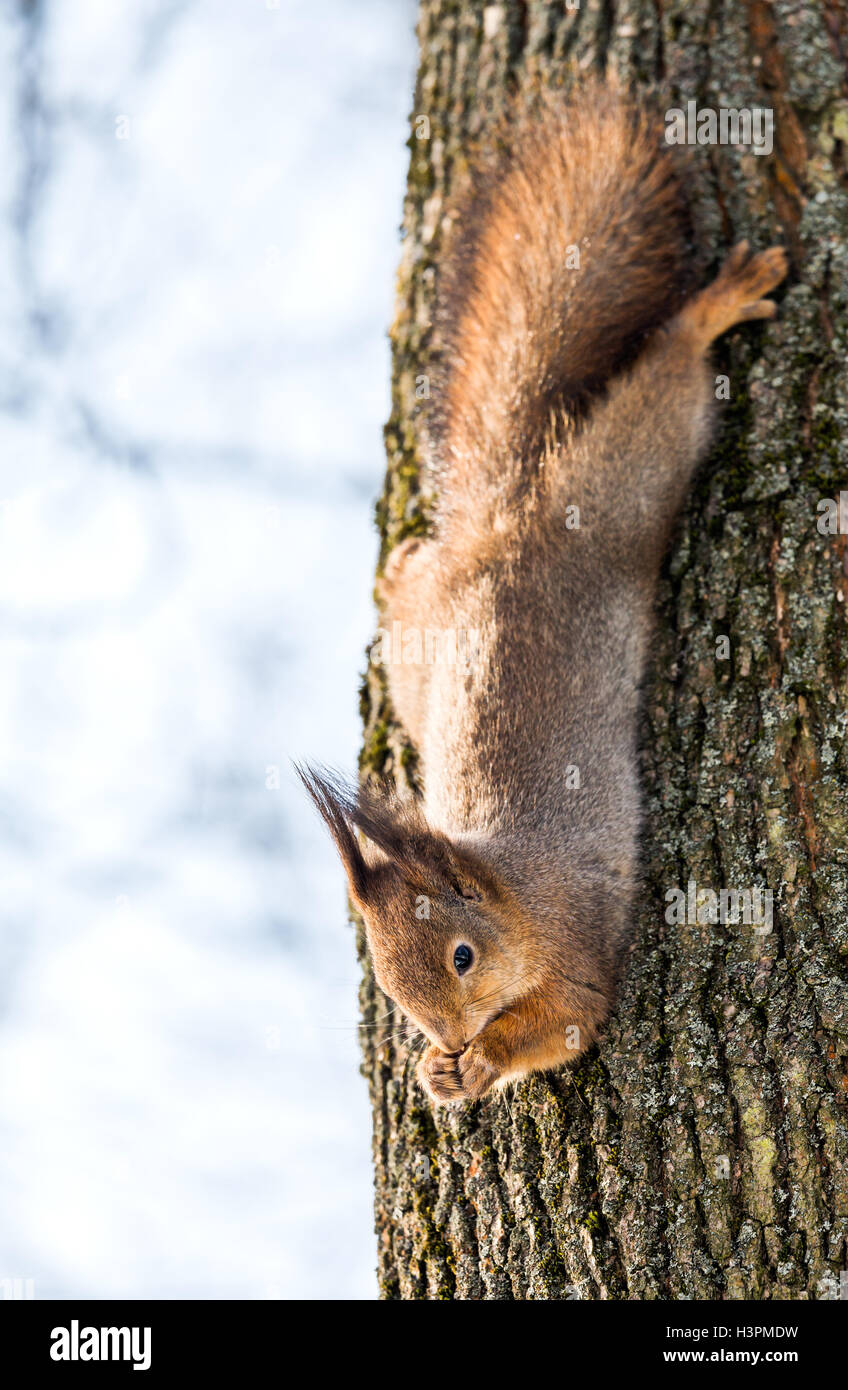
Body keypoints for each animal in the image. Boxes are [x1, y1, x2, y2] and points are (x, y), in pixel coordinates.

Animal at [298, 84, 784, 1106]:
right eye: (390, 983)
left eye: (463, 957)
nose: (445, 1034)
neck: (513, 891)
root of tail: (511, 524)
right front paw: (440, 1071)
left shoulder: (577, 951)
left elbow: (565, 1026)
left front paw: (480, 1060)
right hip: (420, 654)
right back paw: (397, 565)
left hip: (622, 490)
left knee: (665, 387)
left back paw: (715, 307)